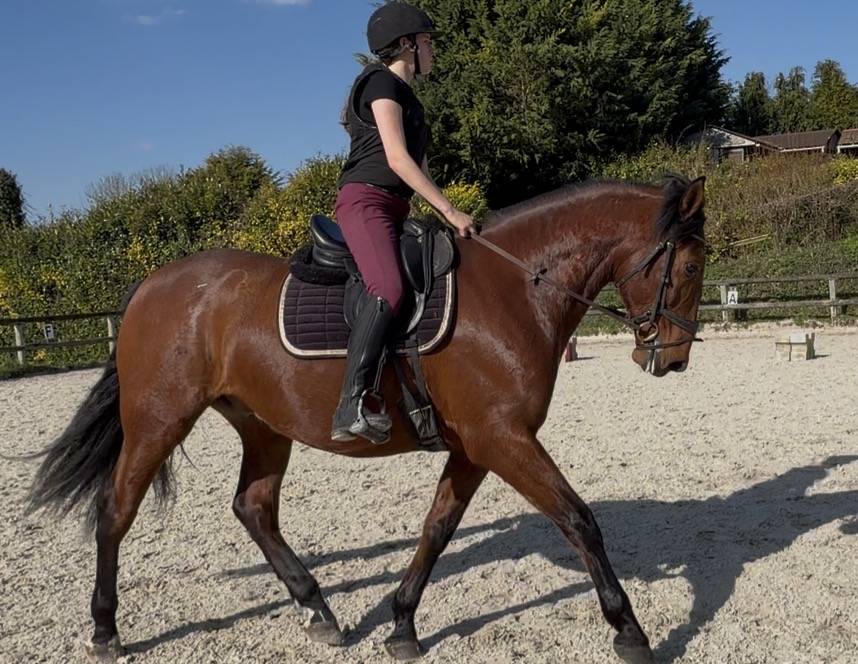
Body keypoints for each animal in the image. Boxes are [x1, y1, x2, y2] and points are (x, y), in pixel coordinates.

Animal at [28, 174, 707, 663]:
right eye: (694, 267)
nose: (674, 359)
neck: (514, 289)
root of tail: (151, 285)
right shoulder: (502, 439)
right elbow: (578, 519)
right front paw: (630, 630)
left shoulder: (476, 445)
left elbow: (437, 528)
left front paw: (402, 624)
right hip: (158, 418)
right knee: (116, 510)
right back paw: (105, 629)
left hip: (263, 426)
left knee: (253, 508)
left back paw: (319, 611)